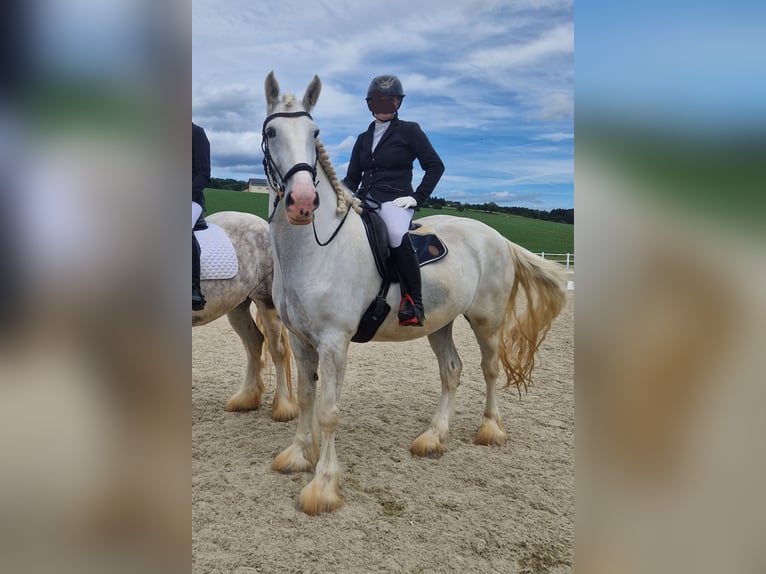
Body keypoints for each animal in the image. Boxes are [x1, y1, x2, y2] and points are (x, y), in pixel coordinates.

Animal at [192, 212, 300, 424]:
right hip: (237, 306)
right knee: (254, 342)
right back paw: (246, 399)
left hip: (267, 302)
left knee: (278, 351)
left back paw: (283, 407)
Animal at [260, 73, 568, 516]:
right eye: (271, 132)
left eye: (314, 133)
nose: (302, 202)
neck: (313, 250)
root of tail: (496, 236)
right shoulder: (302, 341)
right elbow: (305, 399)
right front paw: (299, 456)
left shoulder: (334, 343)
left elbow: (329, 411)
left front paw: (323, 487)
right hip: (439, 322)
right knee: (452, 370)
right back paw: (433, 437)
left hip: (487, 320)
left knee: (490, 369)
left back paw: (490, 429)